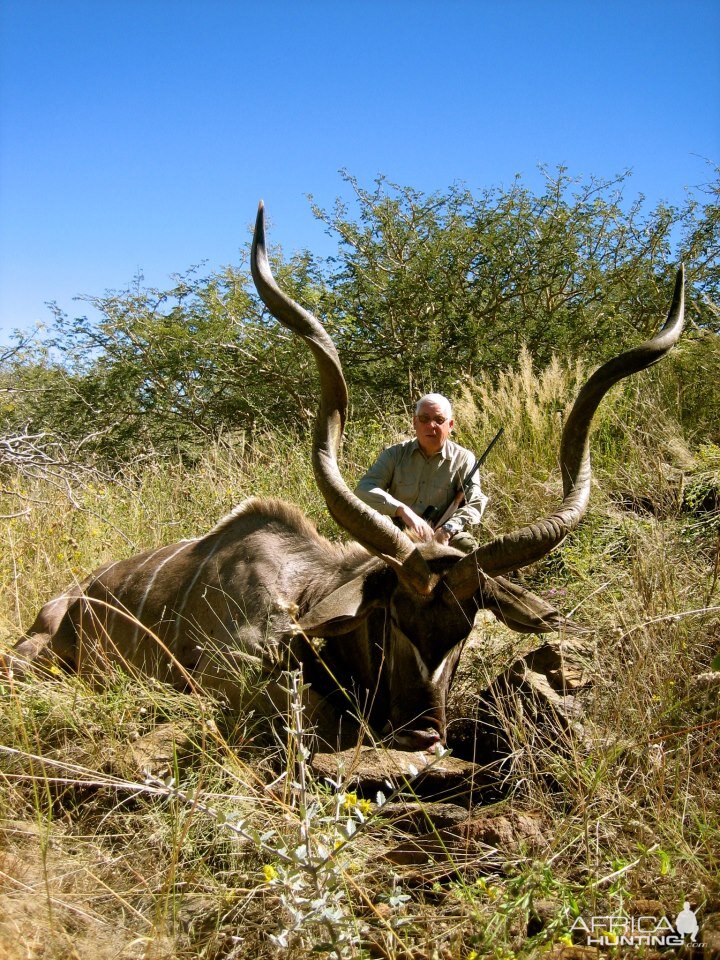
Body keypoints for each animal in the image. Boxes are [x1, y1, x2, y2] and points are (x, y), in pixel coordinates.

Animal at [8, 206, 688, 752]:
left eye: (468, 626)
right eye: (388, 617)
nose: (421, 732)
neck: (304, 593)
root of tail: (69, 597)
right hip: (29, 659)